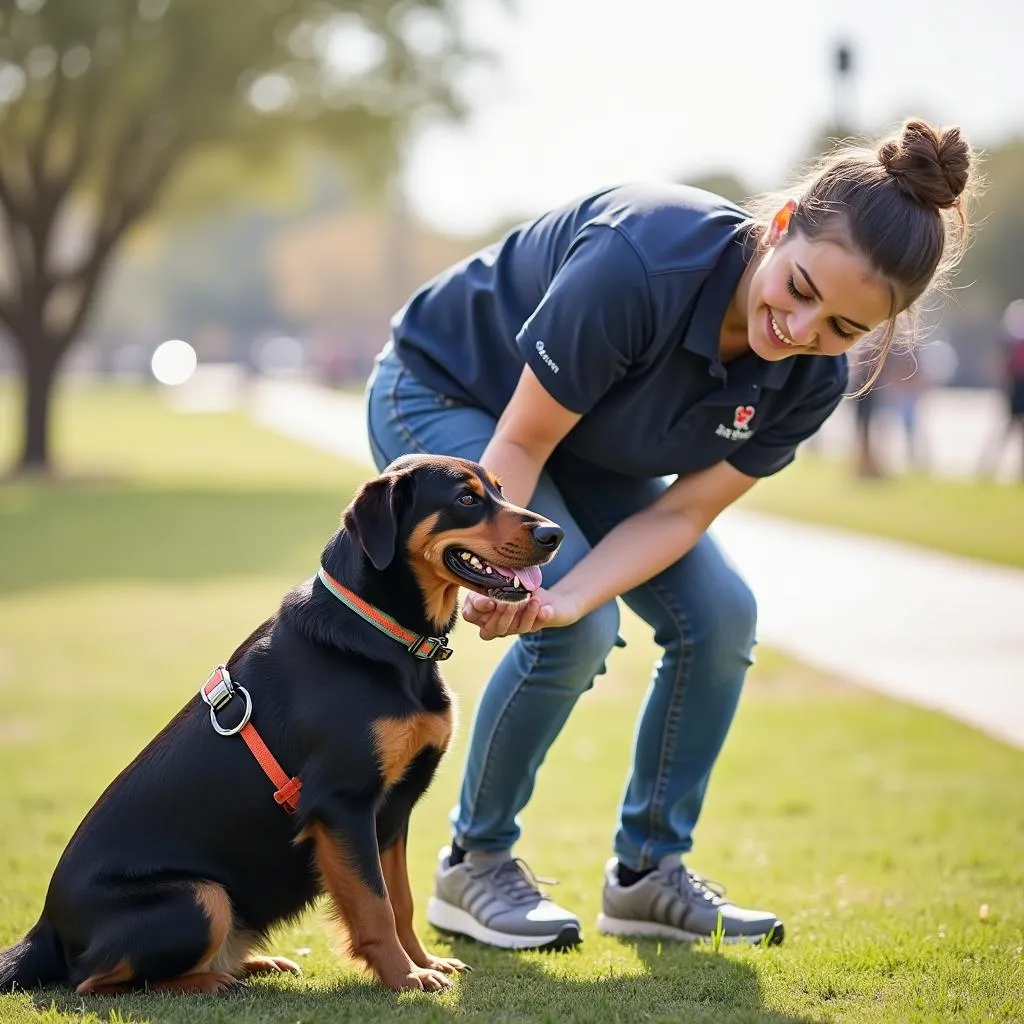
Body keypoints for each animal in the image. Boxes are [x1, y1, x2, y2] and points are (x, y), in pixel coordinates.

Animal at [0, 454, 565, 991]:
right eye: (466, 499)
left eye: (500, 489)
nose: (554, 535)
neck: (384, 634)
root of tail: (44, 930)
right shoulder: (343, 803)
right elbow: (375, 906)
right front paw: (406, 977)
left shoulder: (392, 812)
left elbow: (400, 902)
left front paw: (424, 963)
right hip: (199, 895)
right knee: (92, 981)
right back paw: (214, 981)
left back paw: (251, 965)